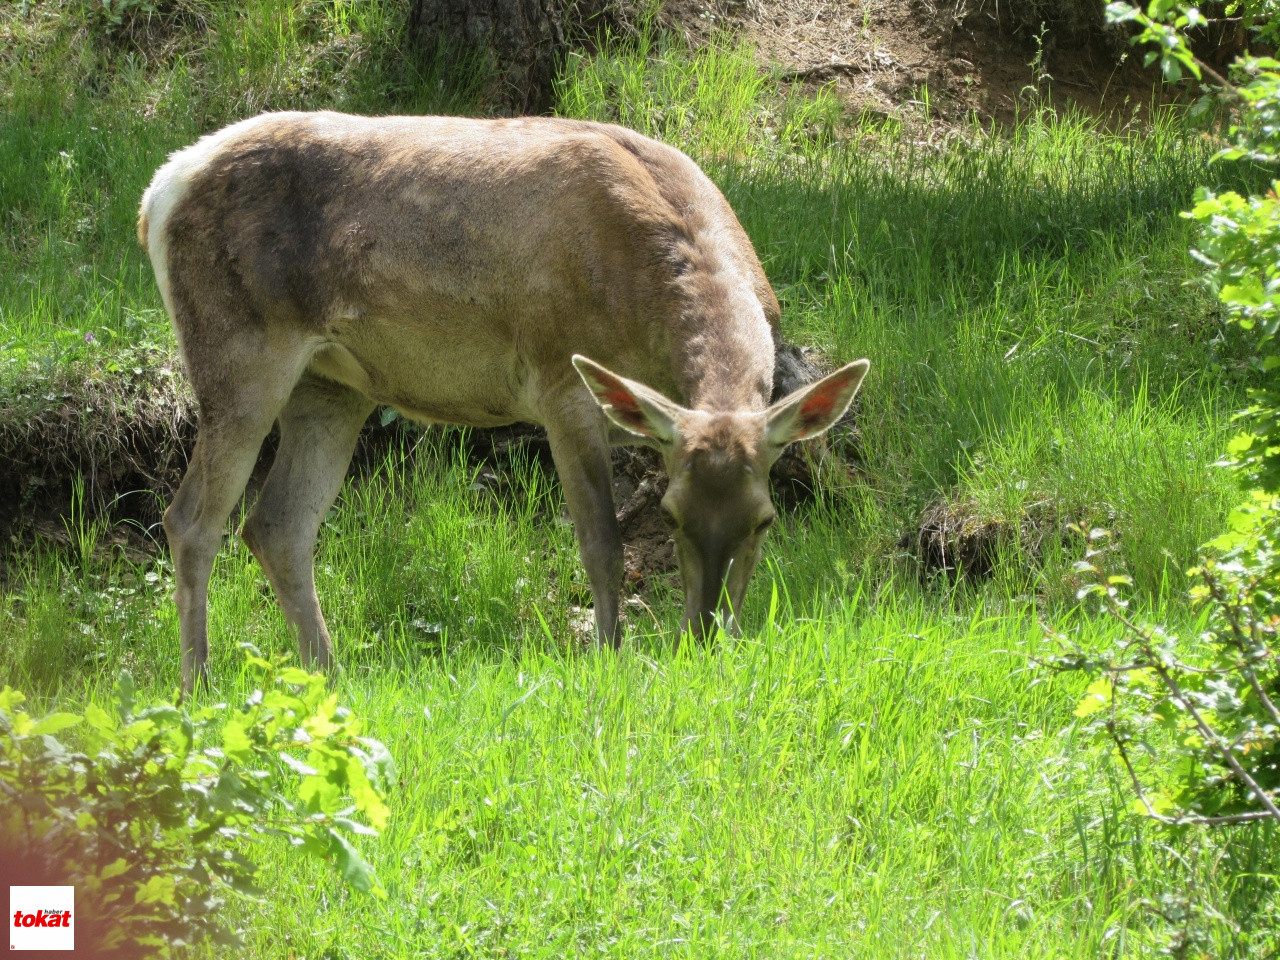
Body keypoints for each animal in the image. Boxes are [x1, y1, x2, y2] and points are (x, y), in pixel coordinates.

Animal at [142, 112, 870, 691]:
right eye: (669, 513)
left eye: (765, 520)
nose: (705, 638)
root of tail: (158, 190)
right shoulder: (560, 380)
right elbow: (602, 542)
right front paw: (608, 657)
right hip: (237, 350)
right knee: (191, 519)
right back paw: (198, 685)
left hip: (333, 386)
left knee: (277, 524)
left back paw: (328, 674)